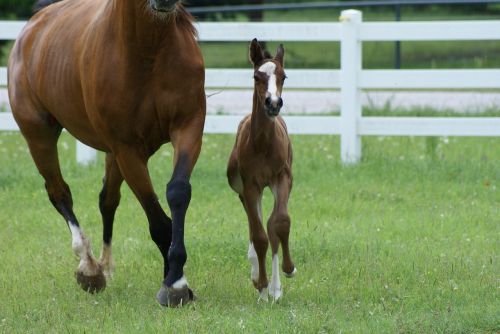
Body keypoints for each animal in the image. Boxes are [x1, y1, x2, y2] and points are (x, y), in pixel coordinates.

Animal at [7, 0, 205, 308]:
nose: (165, 2)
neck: (148, 52)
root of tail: (35, 24)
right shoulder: (127, 148)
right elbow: (158, 220)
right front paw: (174, 285)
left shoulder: (189, 126)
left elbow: (177, 192)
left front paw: (175, 277)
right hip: (39, 136)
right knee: (59, 193)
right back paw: (89, 268)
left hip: (112, 154)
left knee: (107, 200)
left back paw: (104, 265)